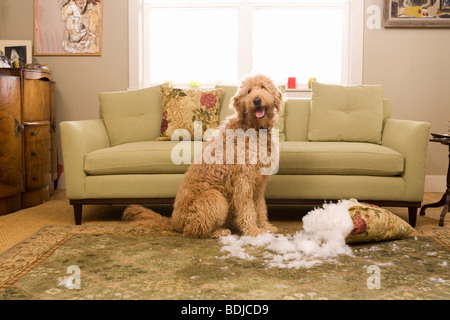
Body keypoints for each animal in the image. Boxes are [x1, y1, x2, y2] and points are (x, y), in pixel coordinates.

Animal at [122, 74, 284, 238]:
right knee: (194, 230)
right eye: (248, 91)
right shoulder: (243, 181)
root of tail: (174, 222)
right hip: (214, 198)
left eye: (263, 87)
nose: (256, 100)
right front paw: (253, 231)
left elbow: (260, 207)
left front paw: (264, 226)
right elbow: (248, 209)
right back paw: (219, 231)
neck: (254, 128)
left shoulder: (259, 183)